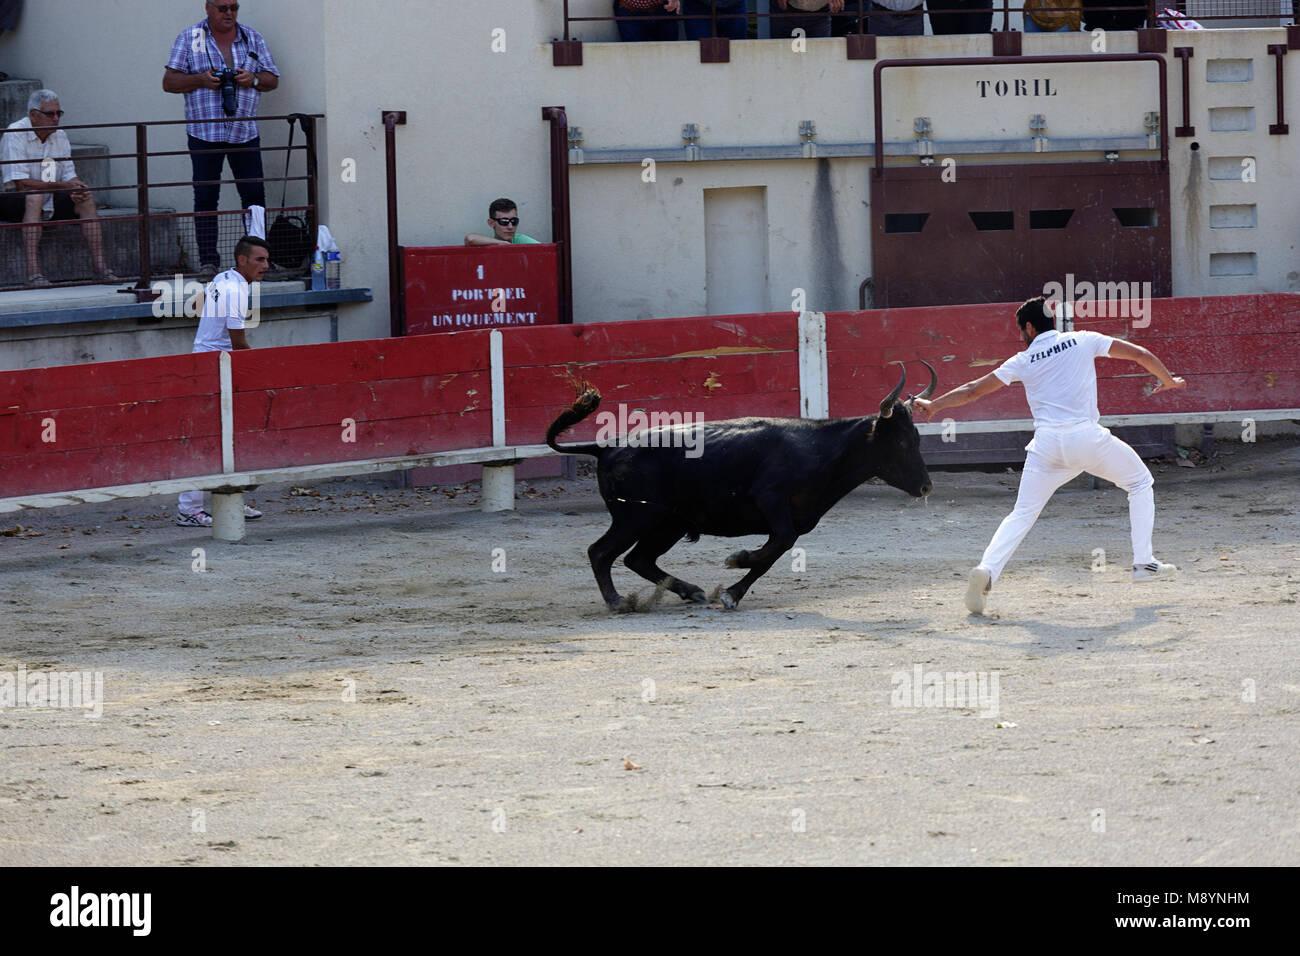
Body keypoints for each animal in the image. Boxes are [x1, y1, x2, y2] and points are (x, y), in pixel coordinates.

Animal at [543, 361, 941, 608]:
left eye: (917, 439)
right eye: (901, 442)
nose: (926, 487)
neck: (820, 449)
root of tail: (606, 447)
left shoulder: (796, 518)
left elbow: (775, 552)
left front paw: (732, 592)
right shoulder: (771, 500)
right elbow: (779, 543)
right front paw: (736, 562)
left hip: (667, 523)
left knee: (638, 558)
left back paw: (692, 592)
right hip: (635, 518)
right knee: (602, 552)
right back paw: (617, 602)